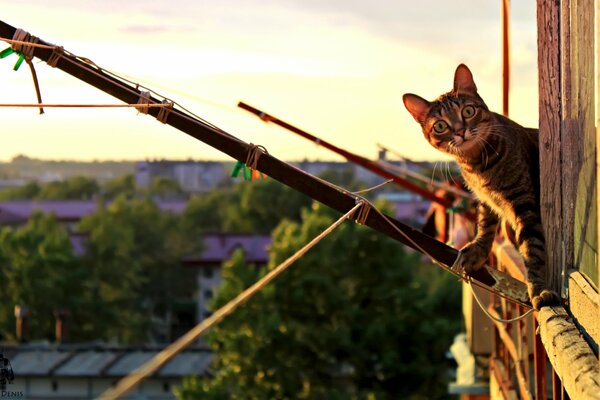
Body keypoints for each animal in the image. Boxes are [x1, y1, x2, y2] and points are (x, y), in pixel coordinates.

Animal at [400, 65, 560, 310]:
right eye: (440, 126)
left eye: (468, 111)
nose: (460, 131)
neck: (477, 165)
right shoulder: (485, 200)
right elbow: (485, 226)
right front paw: (477, 251)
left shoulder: (524, 202)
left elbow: (532, 249)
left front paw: (539, 289)